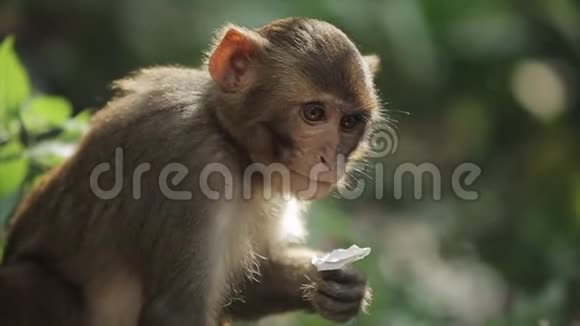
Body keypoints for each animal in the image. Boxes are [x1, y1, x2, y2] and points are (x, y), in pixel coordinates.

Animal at [0, 17, 382, 326]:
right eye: (314, 113)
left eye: (349, 122)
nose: (331, 159)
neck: (233, 147)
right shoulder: (193, 166)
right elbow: (176, 312)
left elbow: (244, 286)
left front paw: (341, 285)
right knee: (33, 284)